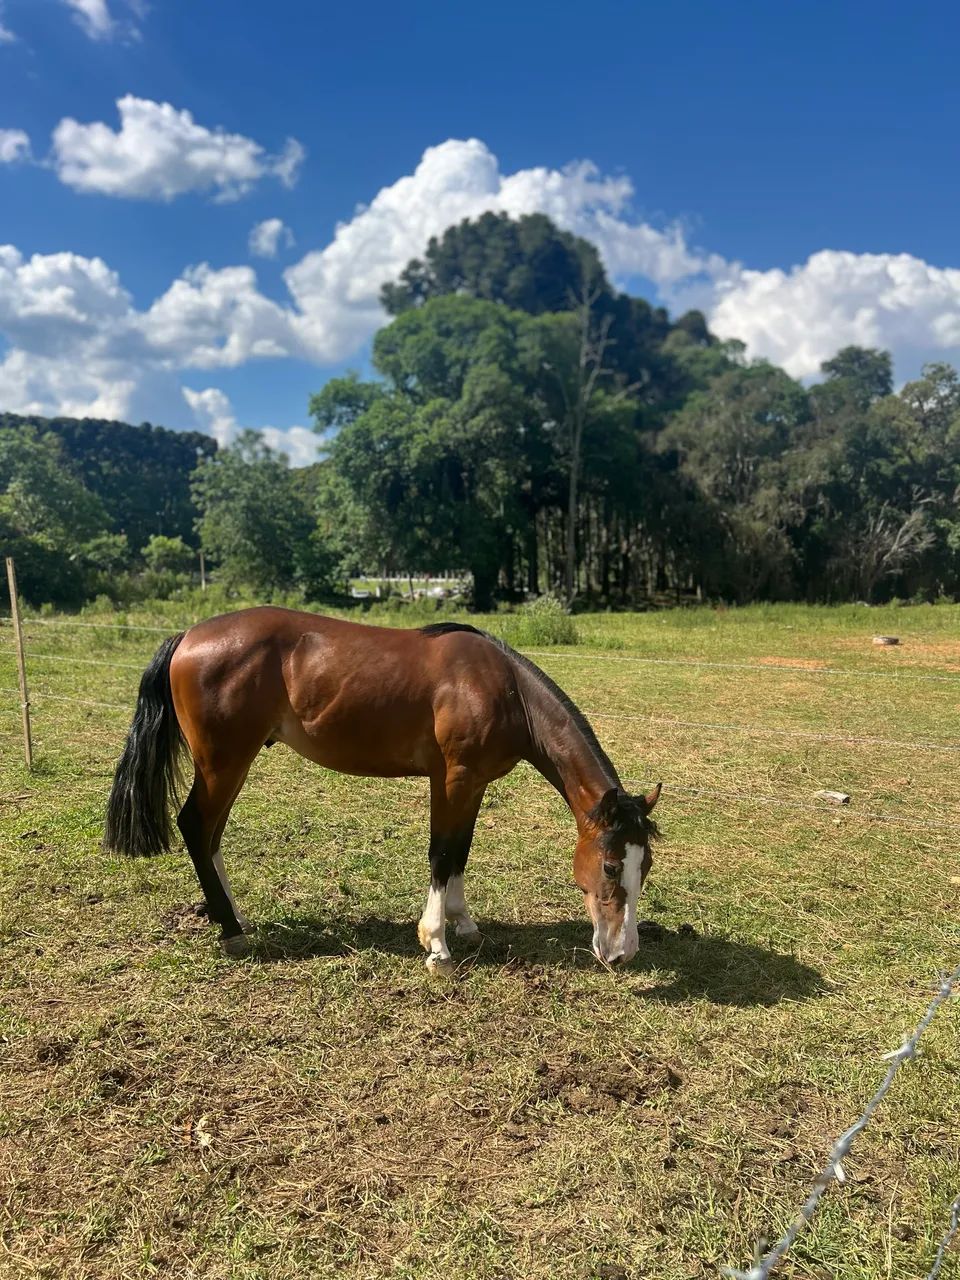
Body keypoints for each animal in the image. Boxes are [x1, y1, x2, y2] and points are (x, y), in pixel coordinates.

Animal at [104, 607, 661, 973]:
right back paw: (232, 931)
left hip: (230, 765)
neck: (502, 689)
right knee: (197, 828)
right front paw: (436, 945)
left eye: (646, 866)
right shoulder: (453, 779)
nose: (622, 953)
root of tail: (187, 636)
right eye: (611, 866)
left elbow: (461, 853)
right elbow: (441, 854)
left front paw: (463, 923)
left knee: (212, 836)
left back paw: (233, 916)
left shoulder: (473, 783)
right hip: (224, 764)